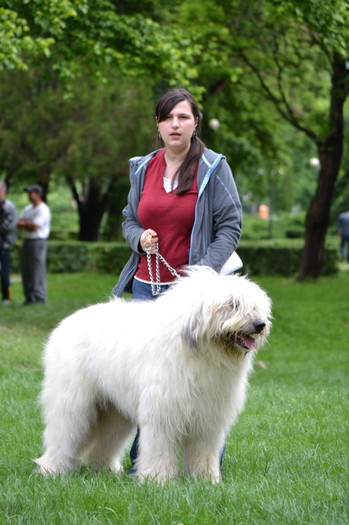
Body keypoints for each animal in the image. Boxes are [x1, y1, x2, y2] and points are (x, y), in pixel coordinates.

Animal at [34, 266, 270, 484]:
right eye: (232, 304)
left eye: (256, 306)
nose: (260, 325)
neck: (200, 350)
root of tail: (66, 322)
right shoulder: (163, 411)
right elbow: (159, 448)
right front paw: (158, 480)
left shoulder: (207, 417)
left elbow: (203, 452)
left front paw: (205, 480)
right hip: (73, 402)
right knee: (63, 435)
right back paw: (51, 470)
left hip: (114, 410)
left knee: (104, 441)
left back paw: (103, 469)